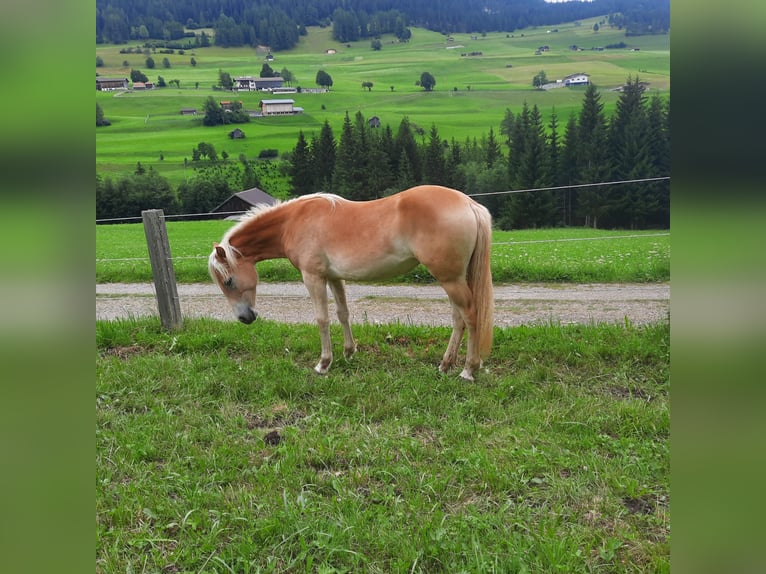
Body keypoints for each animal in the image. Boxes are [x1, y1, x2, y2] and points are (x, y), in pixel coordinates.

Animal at [208, 186, 498, 382]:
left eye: (229, 281)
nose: (245, 318)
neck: (293, 222)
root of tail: (467, 203)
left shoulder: (313, 277)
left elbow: (322, 318)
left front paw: (324, 364)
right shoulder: (334, 277)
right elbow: (342, 313)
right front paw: (349, 352)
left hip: (450, 279)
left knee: (470, 316)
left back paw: (468, 369)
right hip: (453, 278)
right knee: (458, 318)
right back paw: (446, 364)